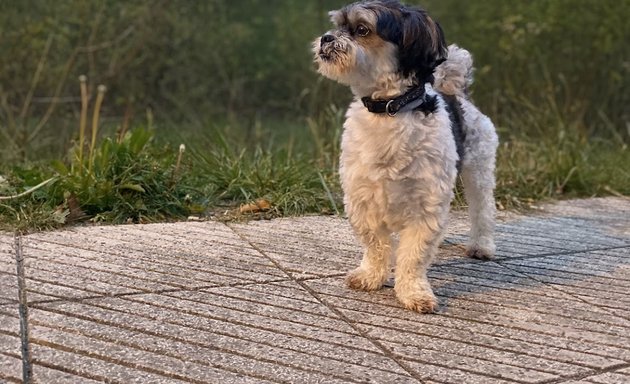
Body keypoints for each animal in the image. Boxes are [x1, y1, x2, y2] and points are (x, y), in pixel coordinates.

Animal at [314, 0, 502, 312]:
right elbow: (375, 244)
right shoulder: (362, 198)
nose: (326, 38)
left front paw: (414, 292)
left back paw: (481, 246)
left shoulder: (427, 205)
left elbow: (413, 255)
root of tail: (457, 90)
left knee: (482, 209)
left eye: (362, 30)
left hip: (479, 170)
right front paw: (370, 276)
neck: (390, 108)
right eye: (338, 25)